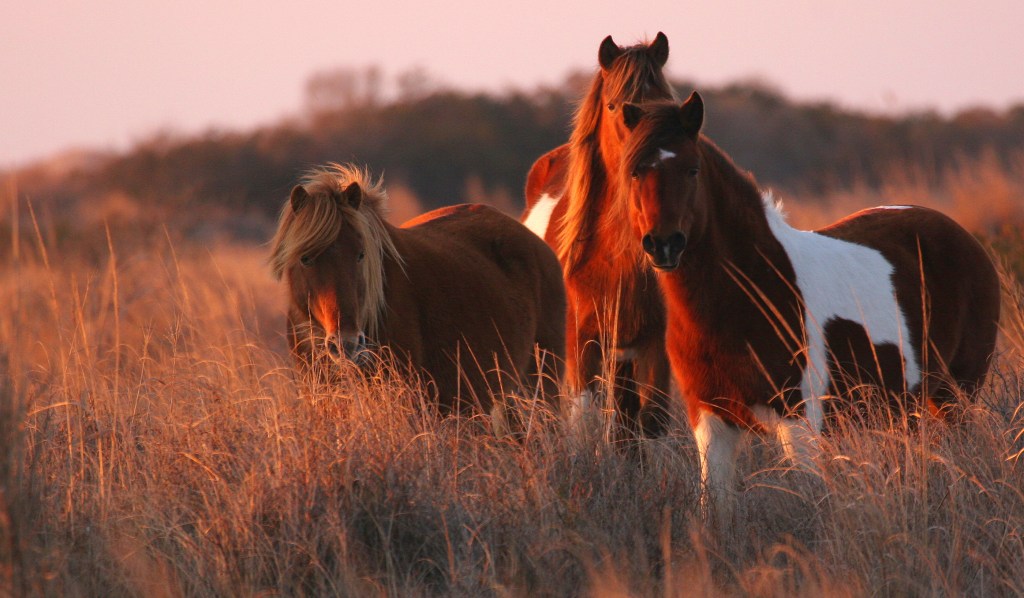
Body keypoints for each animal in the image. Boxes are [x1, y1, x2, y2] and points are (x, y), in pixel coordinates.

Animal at [520, 31, 679, 438]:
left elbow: (651, 421)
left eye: (667, 105)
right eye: (613, 106)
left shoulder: (653, 346)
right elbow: (585, 420)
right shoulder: (581, 345)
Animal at [614, 95, 999, 516]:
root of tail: (965, 239)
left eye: (692, 169)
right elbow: (716, 505)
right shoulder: (712, 421)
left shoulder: (799, 420)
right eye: (635, 172)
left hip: (955, 395)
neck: (743, 299)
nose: (663, 245)